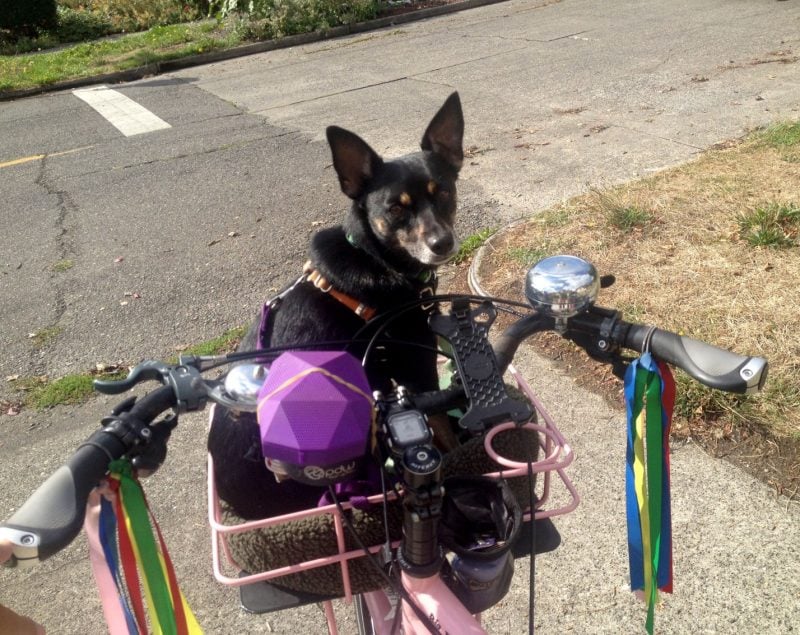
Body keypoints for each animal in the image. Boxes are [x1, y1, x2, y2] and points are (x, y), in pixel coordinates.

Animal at [209, 93, 466, 520]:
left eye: (443, 192)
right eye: (396, 208)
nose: (442, 243)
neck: (378, 260)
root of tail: (236, 504)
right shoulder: (415, 368)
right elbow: (441, 428)